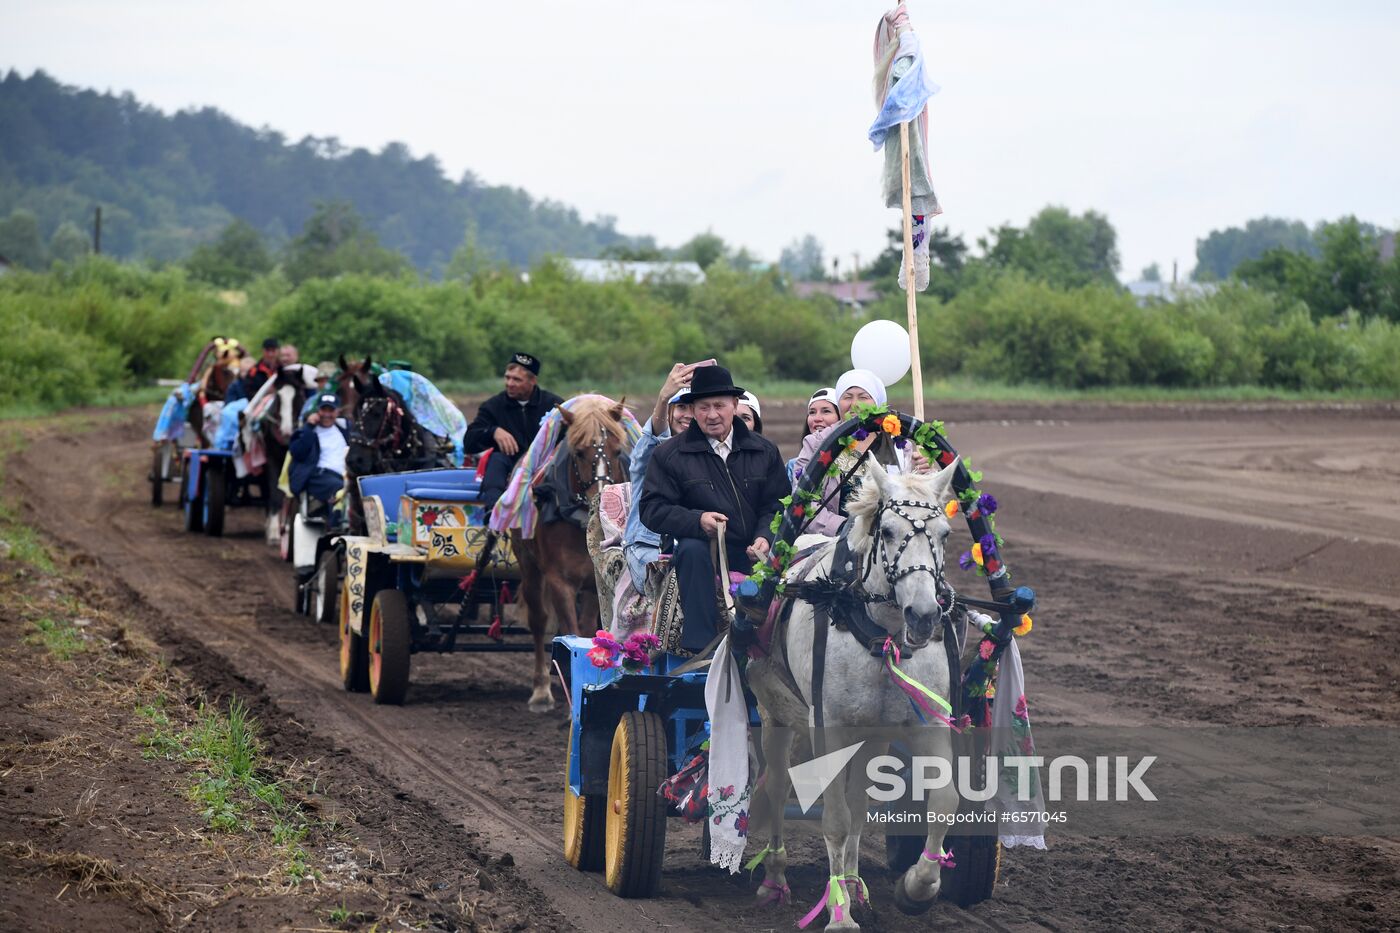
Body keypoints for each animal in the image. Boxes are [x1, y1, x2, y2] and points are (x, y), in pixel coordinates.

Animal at [518, 395, 632, 711]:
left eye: (618, 450)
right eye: (579, 452)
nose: (601, 499)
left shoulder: (594, 582)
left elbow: (589, 630)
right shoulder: (559, 581)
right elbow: (569, 631)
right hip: (529, 566)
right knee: (538, 619)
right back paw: (541, 690)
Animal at [750, 462, 968, 924]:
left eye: (943, 534)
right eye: (886, 530)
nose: (924, 616)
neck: (882, 639)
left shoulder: (927, 721)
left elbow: (943, 798)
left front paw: (918, 887)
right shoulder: (828, 727)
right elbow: (835, 818)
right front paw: (839, 916)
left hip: (873, 733)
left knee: (860, 801)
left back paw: (852, 883)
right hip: (775, 713)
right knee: (776, 785)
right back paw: (775, 877)